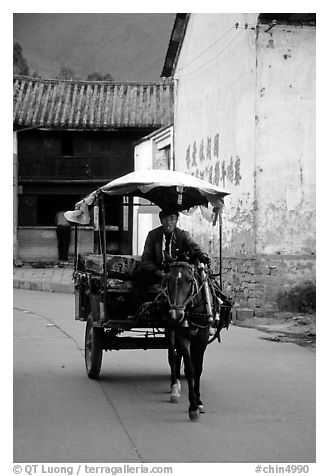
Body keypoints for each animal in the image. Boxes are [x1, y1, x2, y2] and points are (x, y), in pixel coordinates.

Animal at [160, 260, 229, 420]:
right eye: (168, 279)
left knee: (178, 356)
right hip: (170, 329)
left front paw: (199, 401)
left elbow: (198, 369)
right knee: (173, 357)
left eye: (190, 281)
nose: (176, 314)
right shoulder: (183, 336)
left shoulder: (202, 338)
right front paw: (193, 407)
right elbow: (190, 369)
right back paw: (174, 387)